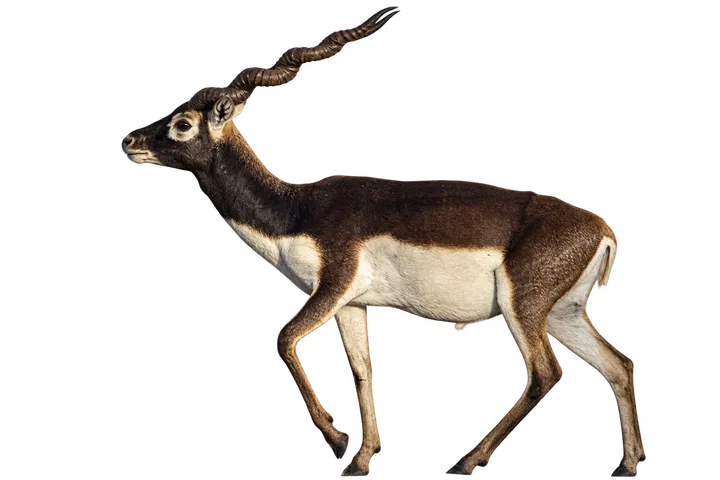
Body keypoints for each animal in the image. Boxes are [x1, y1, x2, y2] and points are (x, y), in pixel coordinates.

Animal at [120, 5, 647, 478]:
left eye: (182, 123)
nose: (128, 140)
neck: (293, 211)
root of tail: (603, 231)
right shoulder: (353, 303)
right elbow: (361, 371)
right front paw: (360, 460)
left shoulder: (332, 283)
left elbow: (284, 339)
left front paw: (339, 445)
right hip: (563, 313)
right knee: (619, 365)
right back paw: (628, 464)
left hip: (523, 309)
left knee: (544, 374)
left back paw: (465, 462)